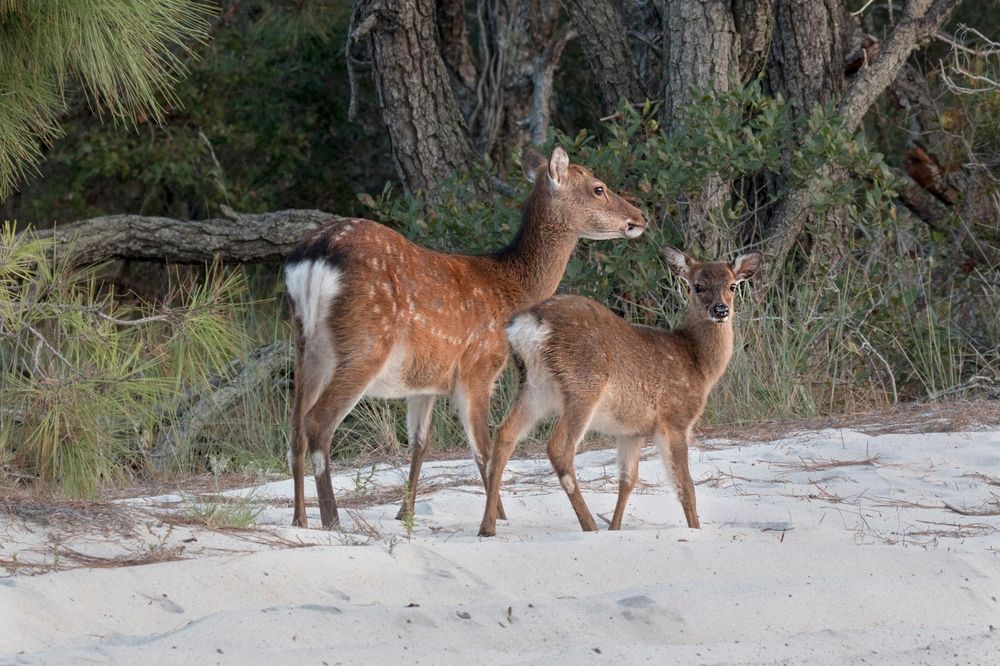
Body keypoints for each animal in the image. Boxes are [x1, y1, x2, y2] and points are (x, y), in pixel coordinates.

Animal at [284, 146, 646, 529]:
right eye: (598, 188)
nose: (639, 218)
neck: (510, 291)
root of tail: (314, 256)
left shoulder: (425, 381)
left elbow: (420, 443)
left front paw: (405, 513)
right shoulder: (479, 368)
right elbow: (484, 450)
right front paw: (498, 517)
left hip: (305, 346)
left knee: (295, 430)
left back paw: (300, 521)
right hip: (365, 343)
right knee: (318, 424)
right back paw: (331, 520)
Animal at [478, 246, 762, 536]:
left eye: (732, 286)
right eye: (697, 286)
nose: (720, 310)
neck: (698, 364)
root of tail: (529, 323)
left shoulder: (632, 432)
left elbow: (627, 480)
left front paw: (615, 528)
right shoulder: (675, 419)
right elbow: (686, 487)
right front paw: (695, 529)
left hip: (533, 387)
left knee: (504, 436)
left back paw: (487, 527)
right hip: (584, 384)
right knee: (559, 447)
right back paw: (590, 525)